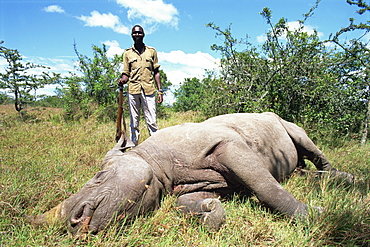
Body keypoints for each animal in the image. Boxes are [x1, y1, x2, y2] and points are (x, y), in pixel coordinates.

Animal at [28, 112, 352, 235]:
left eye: (98, 176)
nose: (75, 223)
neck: (152, 160)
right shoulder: (190, 181)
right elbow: (187, 203)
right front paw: (210, 213)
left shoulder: (226, 144)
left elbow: (265, 186)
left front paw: (318, 216)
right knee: (297, 169)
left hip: (279, 119)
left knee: (304, 141)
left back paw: (345, 180)